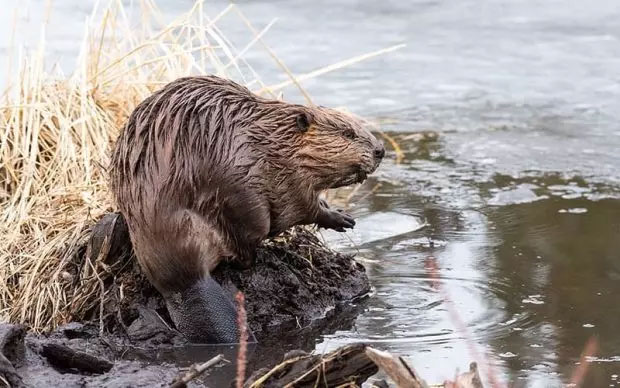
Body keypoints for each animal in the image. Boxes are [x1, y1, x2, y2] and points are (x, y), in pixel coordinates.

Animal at [109, 76, 386, 342]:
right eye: (348, 133)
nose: (380, 150)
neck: (273, 138)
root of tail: (186, 283)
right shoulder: (287, 180)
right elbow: (302, 207)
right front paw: (341, 218)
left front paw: (342, 217)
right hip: (242, 202)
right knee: (245, 249)